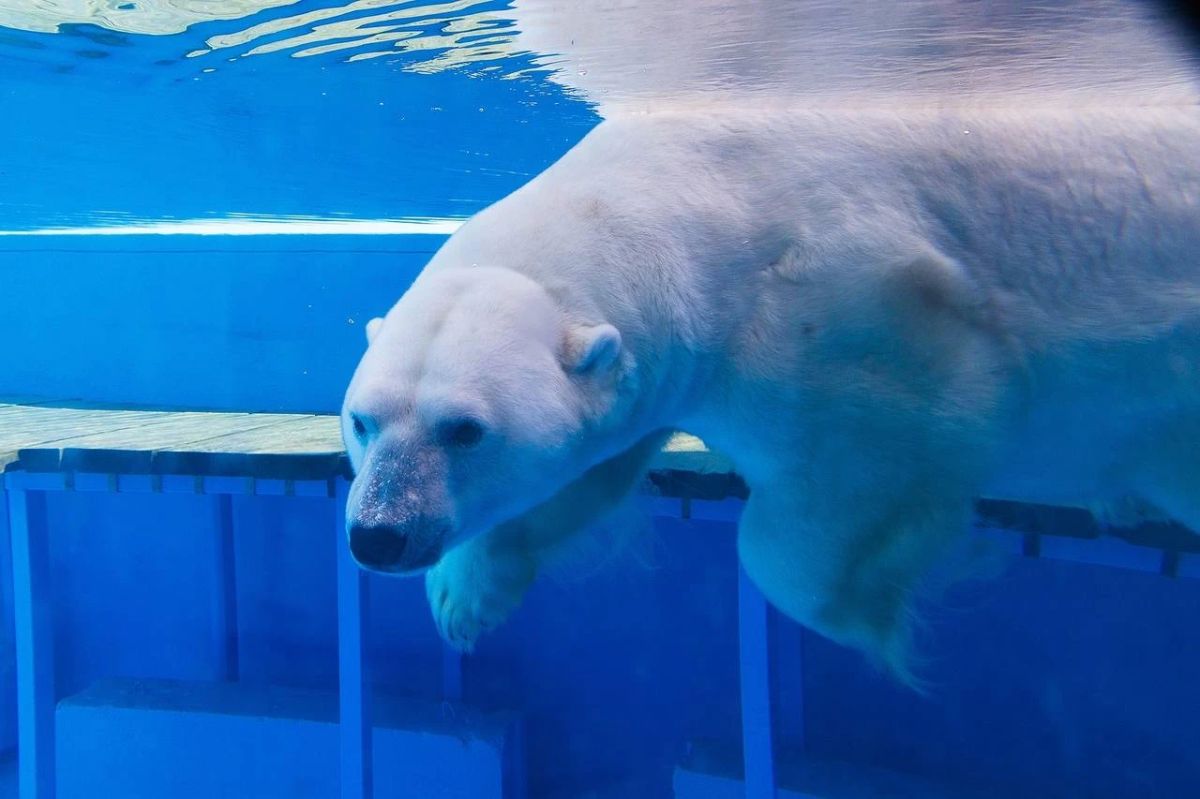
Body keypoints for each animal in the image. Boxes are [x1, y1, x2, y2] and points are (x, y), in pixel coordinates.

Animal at [341, 106, 1200, 681]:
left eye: (465, 429)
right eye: (363, 421)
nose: (379, 534)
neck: (692, 190)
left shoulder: (846, 313)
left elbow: (858, 472)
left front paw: (897, 607)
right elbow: (588, 472)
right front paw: (462, 599)